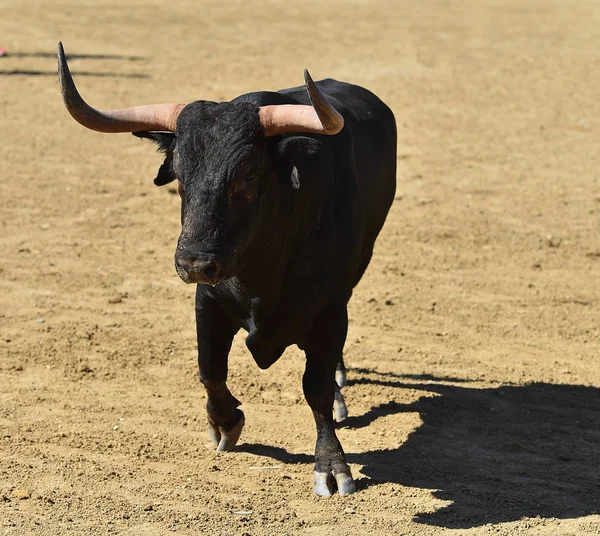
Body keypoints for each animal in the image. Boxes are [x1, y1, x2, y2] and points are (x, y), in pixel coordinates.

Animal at [55, 39, 394, 496]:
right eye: (179, 174)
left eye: (248, 174)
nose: (194, 262)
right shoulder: (208, 302)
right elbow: (210, 368)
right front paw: (226, 422)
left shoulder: (328, 311)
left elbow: (317, 390)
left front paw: (331, 465)